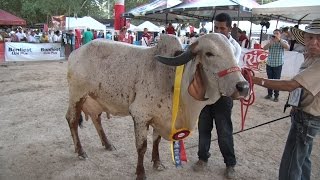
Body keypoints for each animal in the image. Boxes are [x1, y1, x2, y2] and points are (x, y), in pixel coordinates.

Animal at [65, 33, 250, 179]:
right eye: (209, 53)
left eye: (234, 52)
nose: (243, 87)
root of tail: (76, 52)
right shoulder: (140, 116)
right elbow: (142, 147)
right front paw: (141, 173)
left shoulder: (161, 118)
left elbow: (156, 141)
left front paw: (157, 162)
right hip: (76, 96)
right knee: (72, 120)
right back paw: (80, 151)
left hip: (93, 99)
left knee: (96, 119)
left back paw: (108, 144)